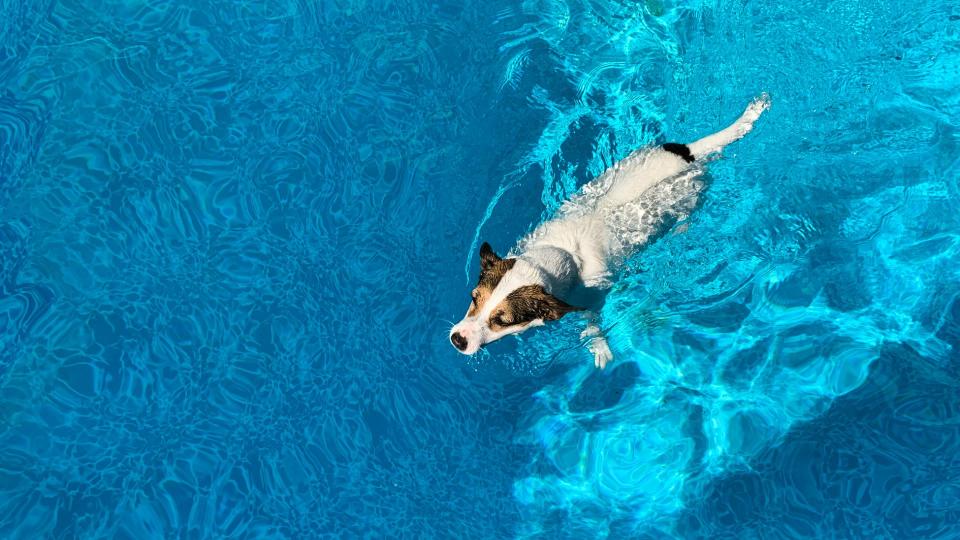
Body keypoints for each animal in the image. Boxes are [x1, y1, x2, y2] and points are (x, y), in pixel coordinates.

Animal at [450, 95, 772, 370]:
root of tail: (687, 153)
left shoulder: (592, 296)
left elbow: (593, 324)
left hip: (692, 199)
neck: (562, 252)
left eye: (502, 321)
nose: (457, 339)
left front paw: (599, 346)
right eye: (474, 297)